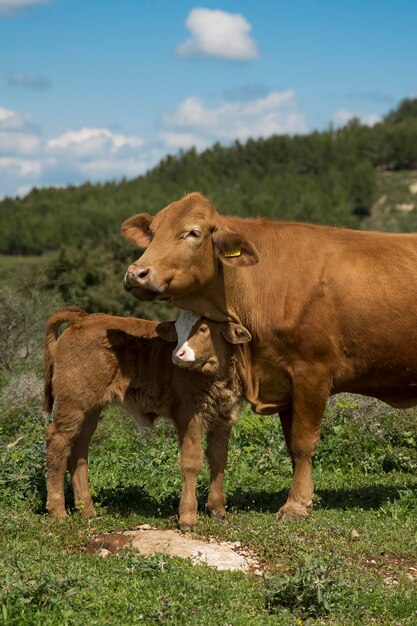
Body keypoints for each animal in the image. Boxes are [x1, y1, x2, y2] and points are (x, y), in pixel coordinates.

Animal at [44, 304, 250, 524]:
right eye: (177, 331)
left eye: (203, 329)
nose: (178, 354)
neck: (217, 379)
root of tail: (84, 318)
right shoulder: (189, 418)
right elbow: (191, 461)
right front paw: (187, 516)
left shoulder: (223, 422)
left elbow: (219, 460)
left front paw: (218, 511)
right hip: (73, 404)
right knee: (57, 442)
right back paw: (58, 511)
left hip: (90, 411)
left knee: (79, 450)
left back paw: (86, 510)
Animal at [123, 193, 417, 520]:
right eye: (152, 232)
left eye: (193, 233)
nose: (136, 273)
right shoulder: (283, 380)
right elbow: (291, 443)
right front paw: (306, 496)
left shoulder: (312, 372)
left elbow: (303, 442)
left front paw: (296, 504)